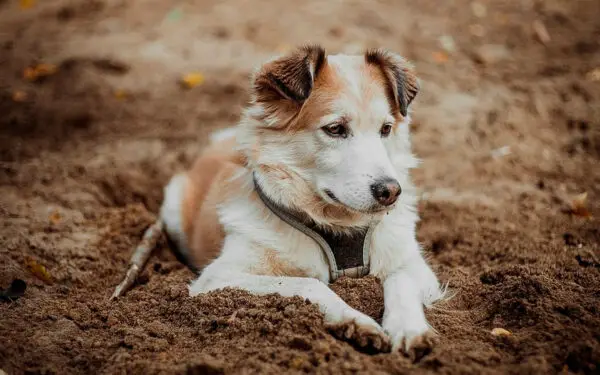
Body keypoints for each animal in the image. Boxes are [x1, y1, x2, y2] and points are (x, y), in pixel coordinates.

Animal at [159, 44, 446, 356]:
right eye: (335, 128)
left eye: (385, 128)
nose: (390, 191)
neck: (338, 224)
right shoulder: (219, 277)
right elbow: (310, 283)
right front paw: (355, 320)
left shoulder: (415, 266)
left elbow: (399, 279)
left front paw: (409, 328)